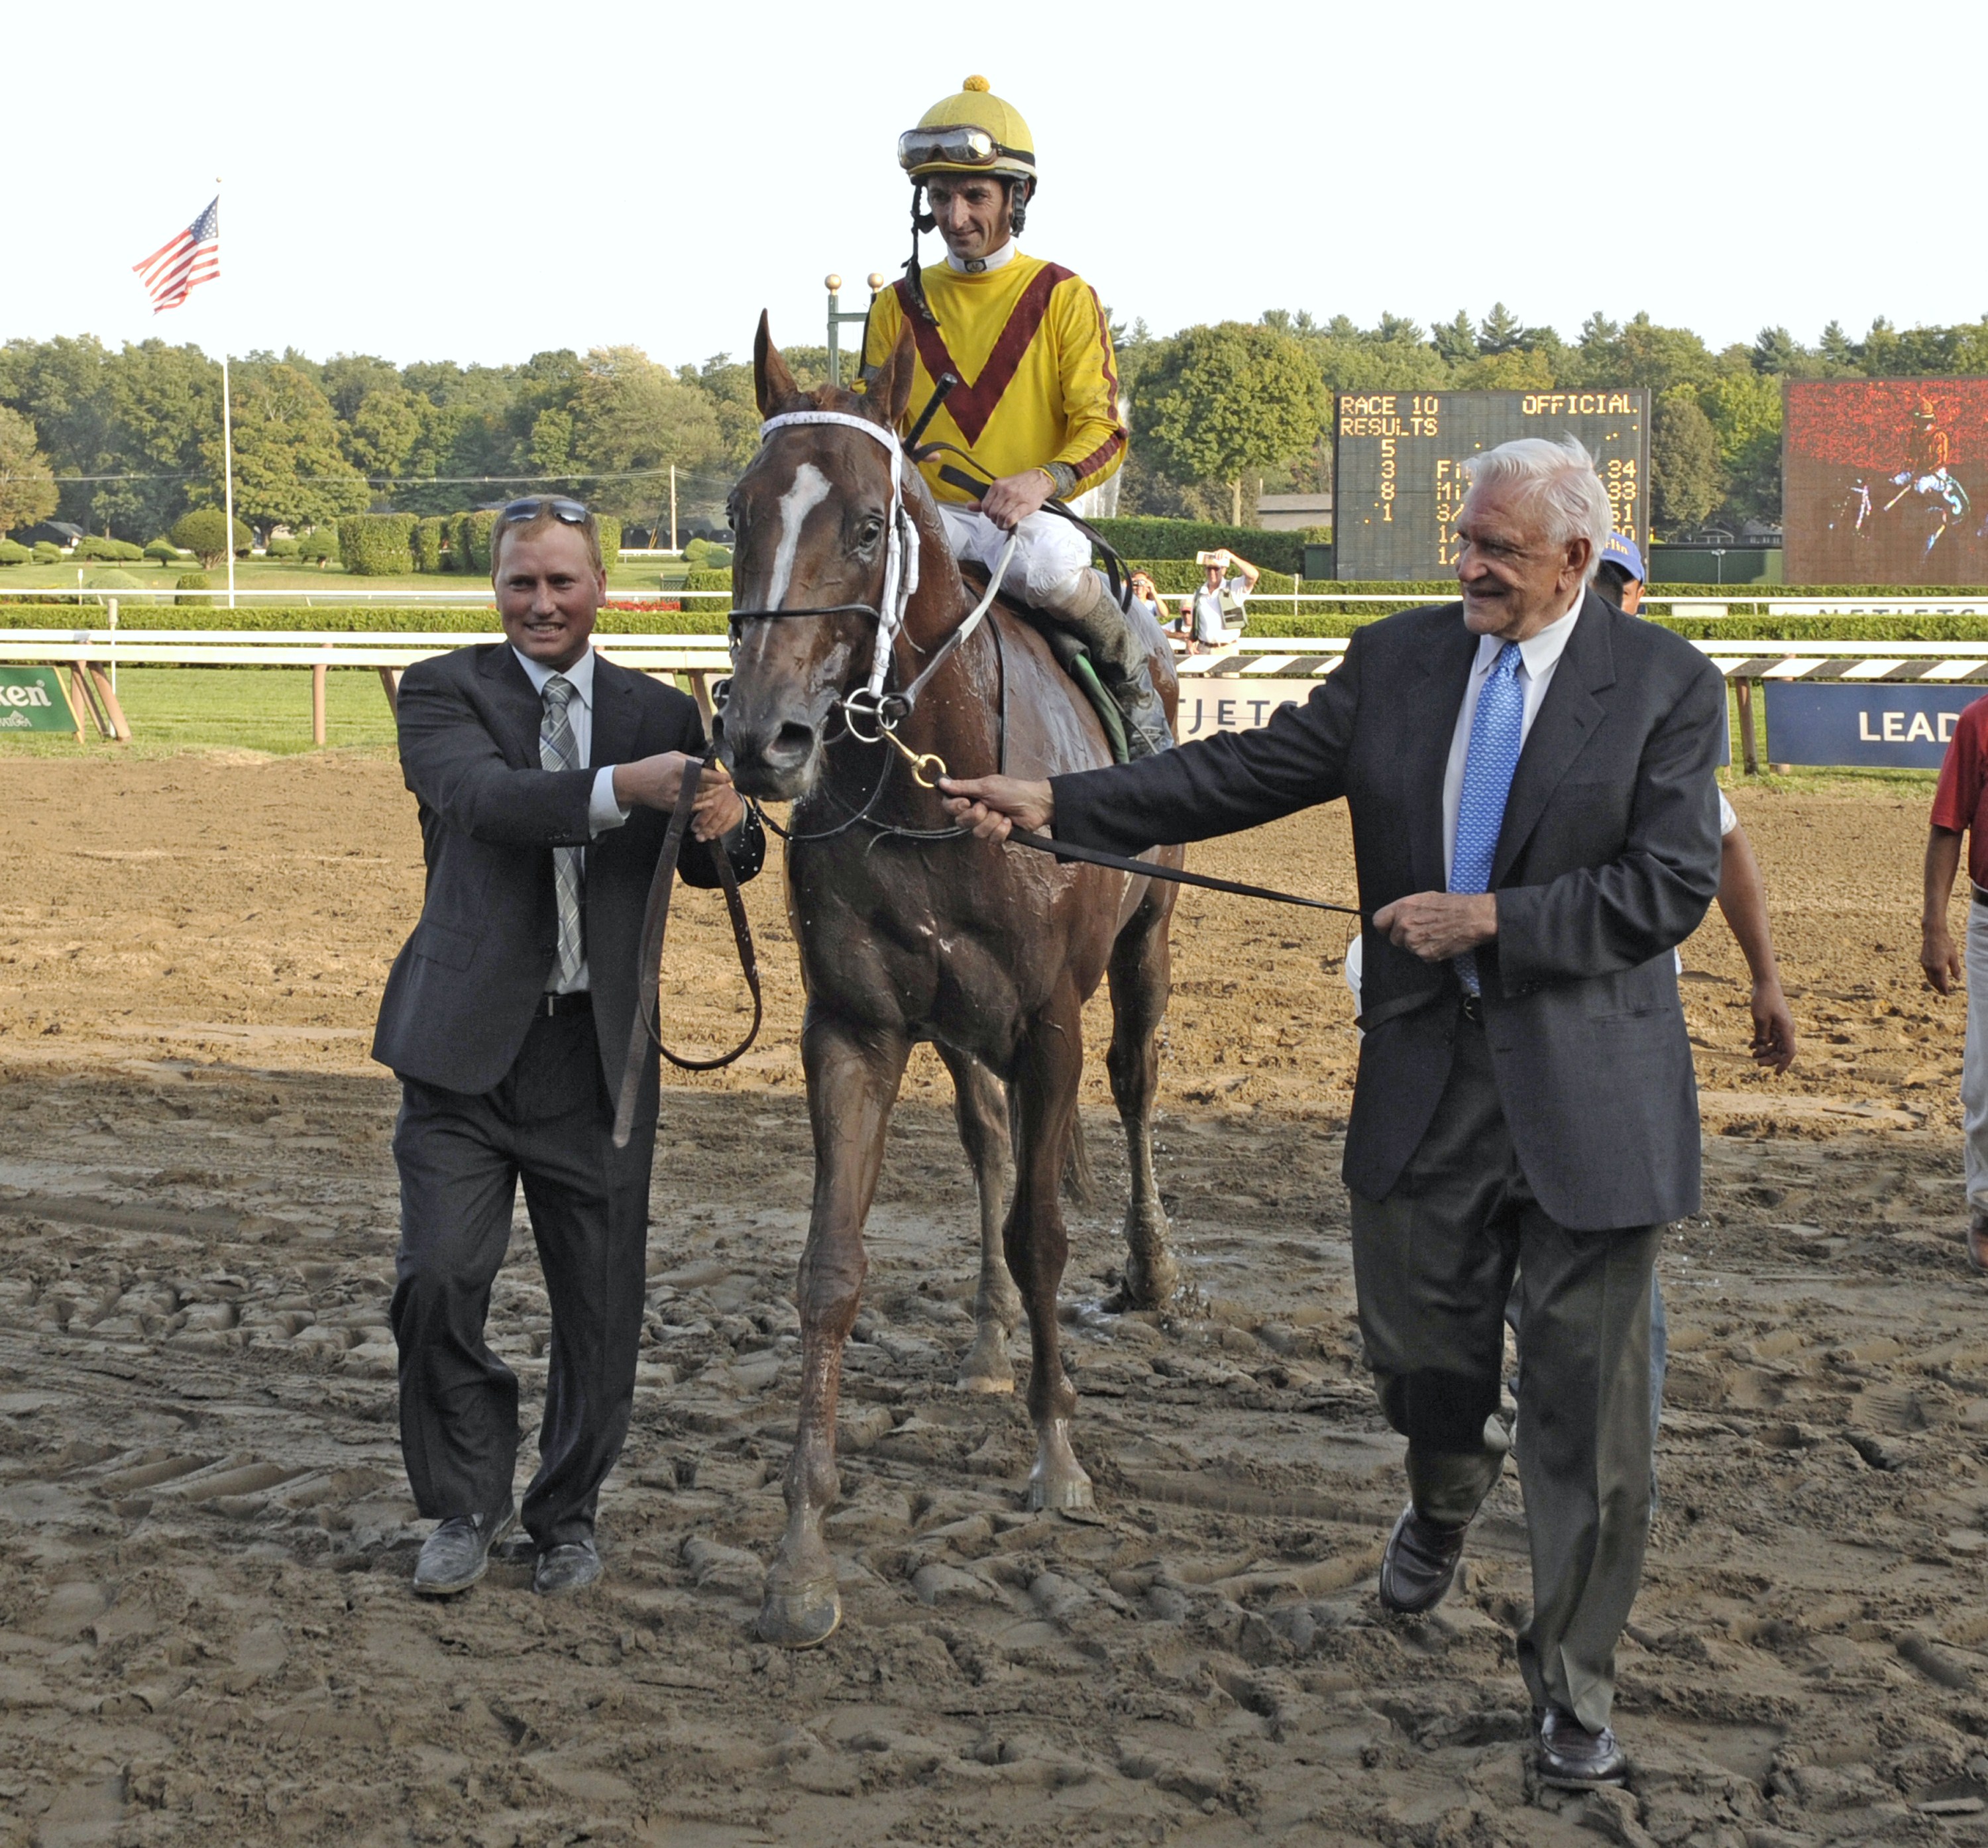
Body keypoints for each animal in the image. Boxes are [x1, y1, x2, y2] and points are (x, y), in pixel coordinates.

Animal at [716, 319, 1177, 1645]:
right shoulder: (854, 1025)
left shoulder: (1050, 1023)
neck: (937, 783)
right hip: (962, 1026)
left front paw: (1058, 1454)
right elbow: (832, 1269)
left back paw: (1156, 1266)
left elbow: (1044, 1233)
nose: (761, 736)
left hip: (1143, 948)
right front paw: (801, 1554)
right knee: (987, 1144)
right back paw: (985, 1336)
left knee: (1133, 1086)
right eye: (737, 513)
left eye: (870, 524)